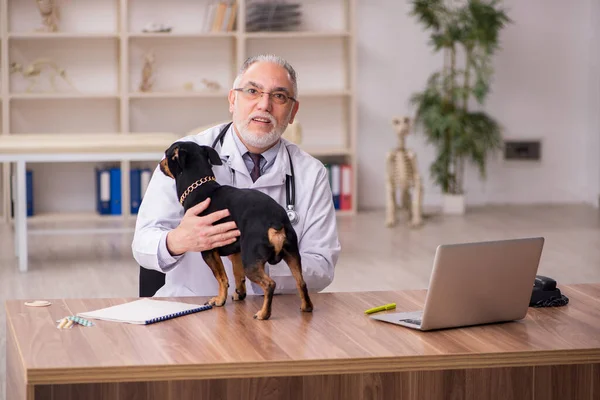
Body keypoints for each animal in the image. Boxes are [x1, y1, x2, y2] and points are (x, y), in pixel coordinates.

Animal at [158, 140, 314, 318]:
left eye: (166, 153)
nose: (160, 163)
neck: (200, 188)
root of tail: (275, 222)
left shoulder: (209, 252)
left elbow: (222, 279)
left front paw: (219, 300)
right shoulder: (236, 253)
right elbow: (237, 275)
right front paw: (240, 294)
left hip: (251, 261)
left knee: (270, 284)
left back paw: (263, 314)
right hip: (292, 254)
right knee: (301, 282)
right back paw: (306, 307)